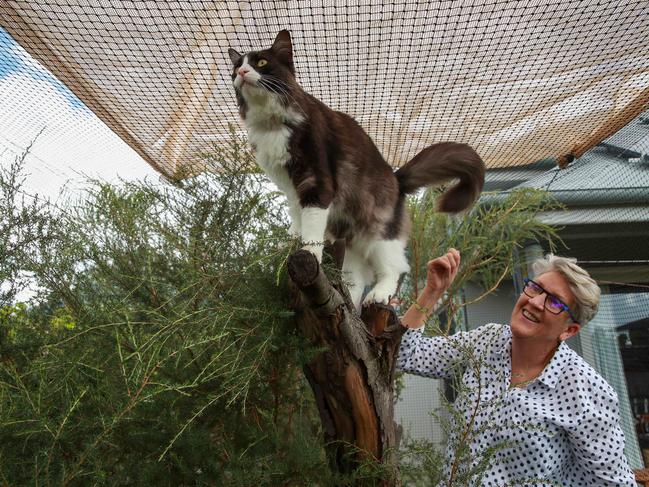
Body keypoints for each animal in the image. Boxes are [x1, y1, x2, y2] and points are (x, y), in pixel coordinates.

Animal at [227, 29, 480, 308]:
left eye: (261, 62)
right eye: (236, 66)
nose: (241, 73)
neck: (271, 126)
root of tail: (397, 179)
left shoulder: (316, 180)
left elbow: (311, 223)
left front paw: (309, 251)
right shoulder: (290, 186)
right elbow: (297, 217)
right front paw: (291, 240)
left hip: (379, 233)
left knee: (395, 268)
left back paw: (379, 294)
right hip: (351, 246)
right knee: (355, 282)